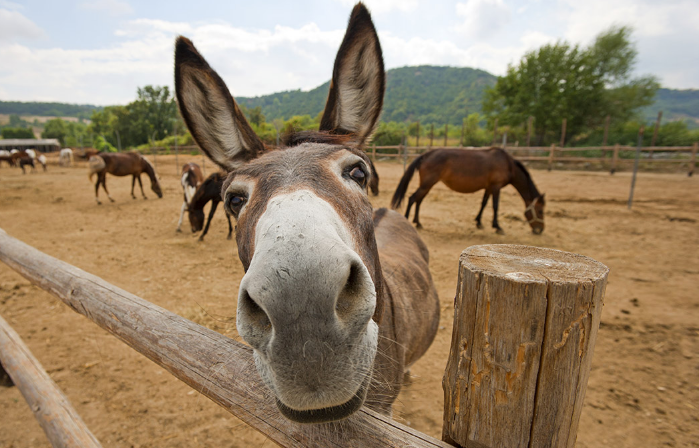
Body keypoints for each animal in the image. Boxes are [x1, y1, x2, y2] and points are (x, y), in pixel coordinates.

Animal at [392, 149, 544, 236]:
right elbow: (495, 206)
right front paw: (497, 227)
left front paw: (479, 222)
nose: (540, 230)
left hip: (427, 185)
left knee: (418, 200)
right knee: (412, 198)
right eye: (540, 211)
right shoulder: (496, 187)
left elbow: (483, 203)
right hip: (427, 184)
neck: (508, 164)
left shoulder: (488, 188)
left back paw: (418, 222)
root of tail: (426, 155)